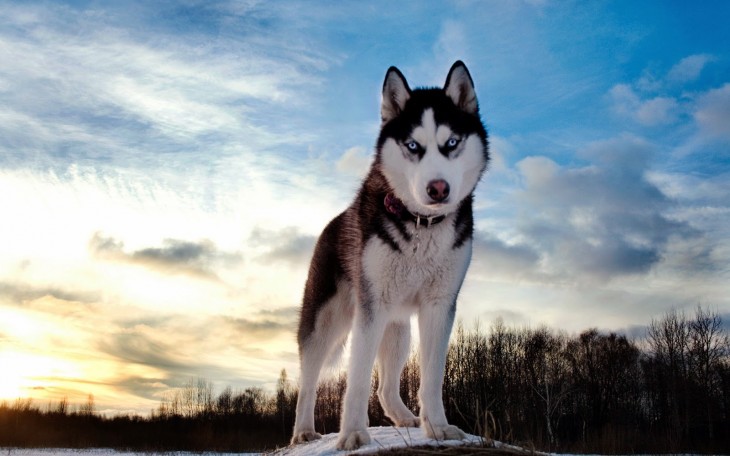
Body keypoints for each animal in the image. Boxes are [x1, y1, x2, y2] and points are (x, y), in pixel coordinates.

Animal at [290, 59, 490, 448]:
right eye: (413, 145)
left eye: (452, 143)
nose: (438, 188)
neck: (421, 224)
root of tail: (332, 223)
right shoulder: (371, 308)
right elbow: (356, 379)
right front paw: (353, 432)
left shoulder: (439, 306)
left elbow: (432, 377)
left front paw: (438, 427)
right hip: (326, 321)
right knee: (308, 380)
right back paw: (303, 430)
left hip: (397, 329)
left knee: (384, 387)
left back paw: (405, 418)